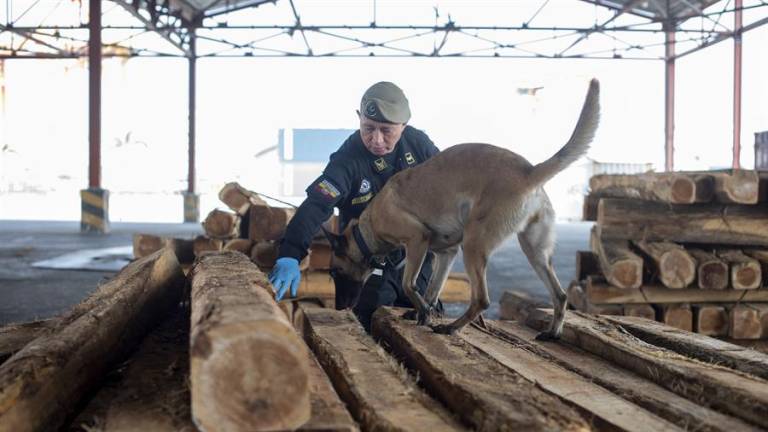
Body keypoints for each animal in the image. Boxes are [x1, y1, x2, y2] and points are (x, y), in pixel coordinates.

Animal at [324, 79, 600, 340]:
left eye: (335, 272)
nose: (338, 307)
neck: (370, 225)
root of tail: (529, 171)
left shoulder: (417, 240)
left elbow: (409, 284)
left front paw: (423, 312)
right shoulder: (446, 254)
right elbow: (432, 290)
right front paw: (422, 311)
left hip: (474, 244)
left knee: (482, 300)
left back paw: (452, 327)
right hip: (534, 251)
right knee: (560, 295)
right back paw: (553, 332)